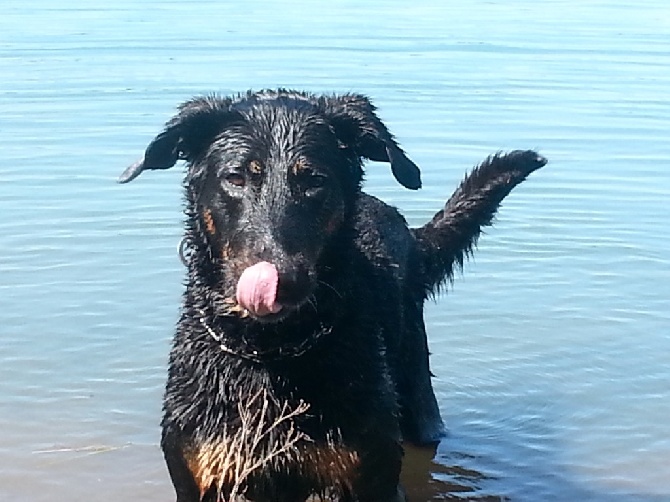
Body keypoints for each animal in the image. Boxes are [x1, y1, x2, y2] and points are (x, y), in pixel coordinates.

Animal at [121, 91, 548, 502]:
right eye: (236, 177)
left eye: (314, 180)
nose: (283, 280)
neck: (271, 352)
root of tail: (412, 234)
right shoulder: (198, 472)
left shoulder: (372, 473)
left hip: (416, 394)